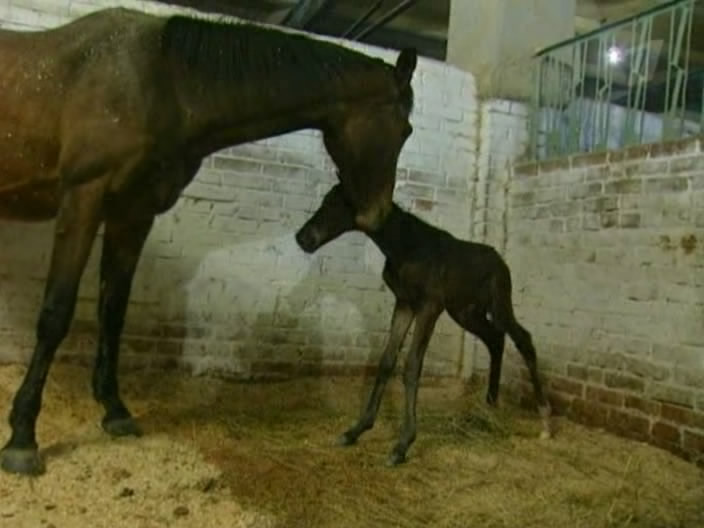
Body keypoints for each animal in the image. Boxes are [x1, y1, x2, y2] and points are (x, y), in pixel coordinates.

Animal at [0, 6, 418, 476]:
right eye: (404, 129)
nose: (378, 213)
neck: (161, 82)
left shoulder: (132, 213)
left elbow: (113, 312)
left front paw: (115, 410)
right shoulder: (83, 197)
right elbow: (55, 314)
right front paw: (22, 436)